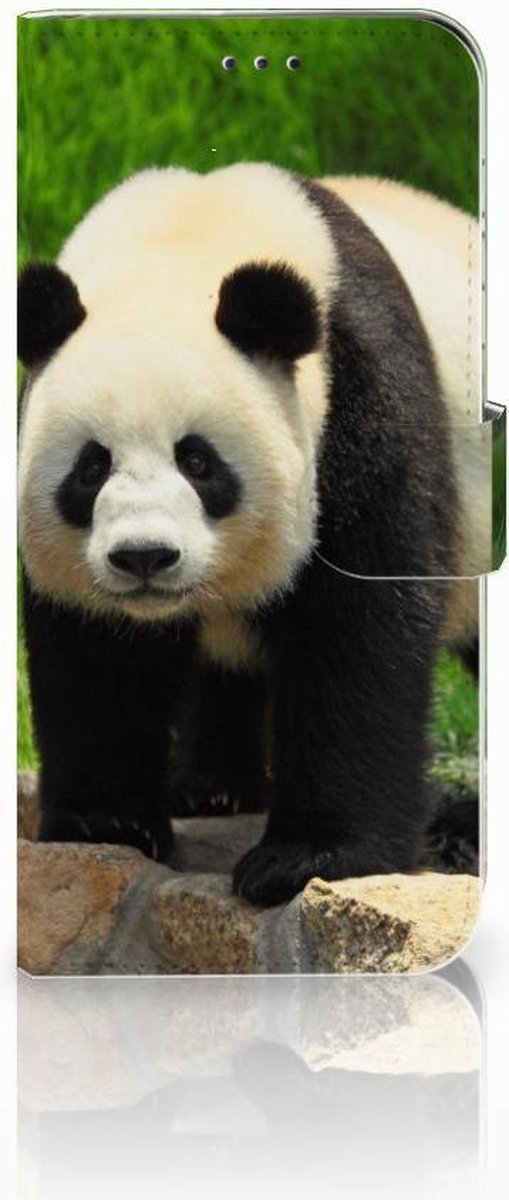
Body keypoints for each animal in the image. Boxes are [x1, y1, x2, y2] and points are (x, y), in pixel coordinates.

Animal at [17, 163, 483, 906]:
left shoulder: (360, 396)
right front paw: (105, 823)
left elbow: (357, 626)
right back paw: (211, 788)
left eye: (198, 461)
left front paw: (307, 858)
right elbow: (96, 651)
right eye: (91, 467)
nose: (144, 557)